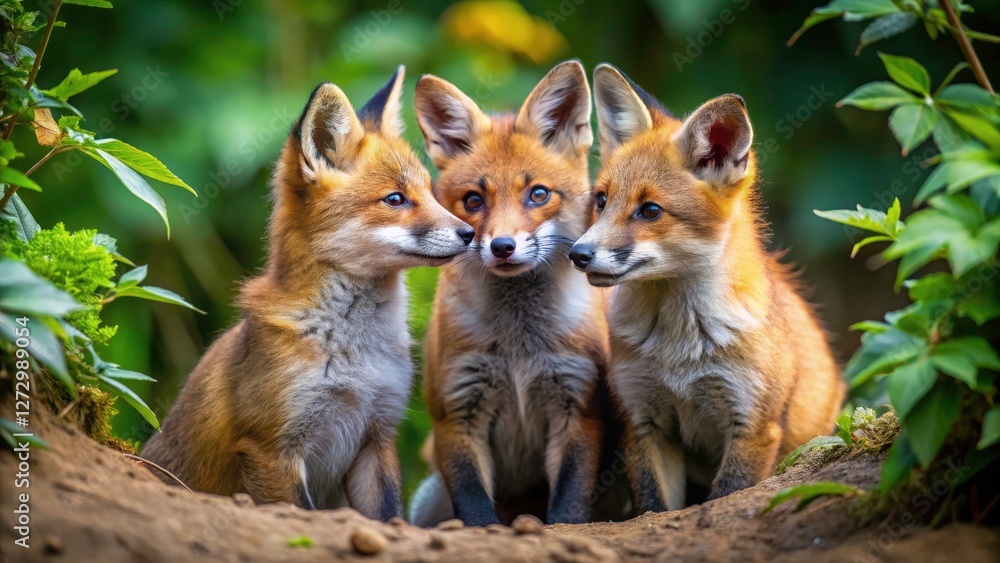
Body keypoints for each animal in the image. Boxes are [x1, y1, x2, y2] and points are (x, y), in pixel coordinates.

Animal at [141, 66, 474, 520]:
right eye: (395, 199)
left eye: (430, 193)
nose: (471, 234)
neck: (354, 355)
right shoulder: (272, 447)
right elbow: (300, 513)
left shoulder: (377, 433)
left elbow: (388, 516)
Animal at [406, 61, 611, 527]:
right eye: (473, 200)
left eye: (537, 194)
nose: (502, 246)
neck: (519, 347)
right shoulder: (456, 412)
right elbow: (474, 504)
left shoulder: (578, 405)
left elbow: (570, 501)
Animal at [568, 64, 845, 511]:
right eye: (601, 200)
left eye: (650, 210)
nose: (577, 254)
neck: (679, 349)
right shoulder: (644, 418)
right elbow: (654, 507)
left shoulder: (752, 422)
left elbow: (728, 494)